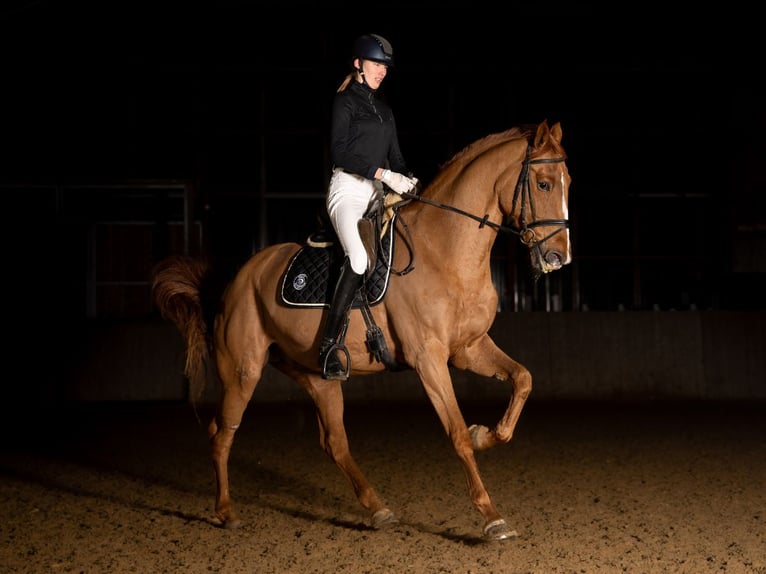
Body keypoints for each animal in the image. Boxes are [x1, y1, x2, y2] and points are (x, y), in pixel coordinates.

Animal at [152, 119, 572, 541]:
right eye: (544, 184)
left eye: (567, 182)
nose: (559, 258)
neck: (445, 250)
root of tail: (236, 280)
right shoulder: (429, 359)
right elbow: (455, 433)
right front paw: (492, 517)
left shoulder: (468, 348)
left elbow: (522, 379)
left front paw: (483, 433)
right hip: (242, 371)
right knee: (222, 432)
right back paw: (226, 512)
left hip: (316, 375)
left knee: (334, 442)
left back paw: (378, 509)